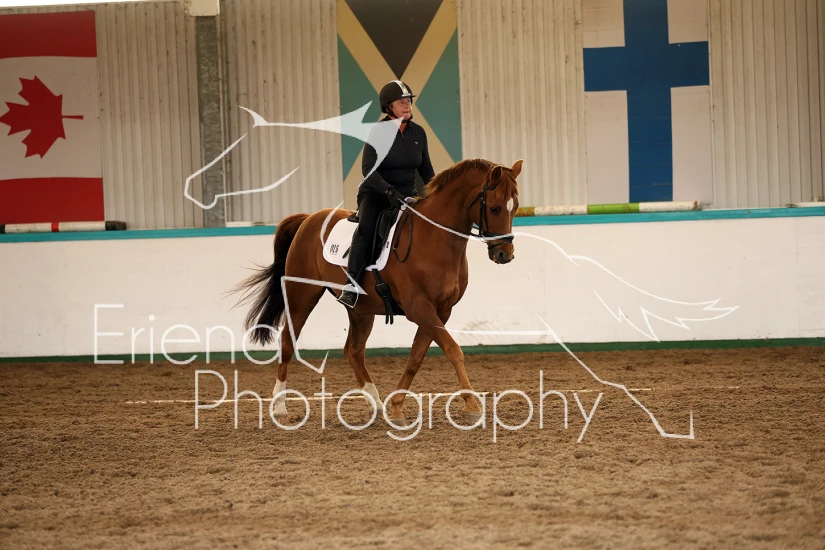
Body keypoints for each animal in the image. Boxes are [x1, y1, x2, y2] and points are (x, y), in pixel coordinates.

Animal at [234, 158, 522, 425]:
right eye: (494, 208)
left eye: (515, 207)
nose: (504, 255)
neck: (434, 239)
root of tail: (308, 219)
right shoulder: (420, 308)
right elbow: (453, 350)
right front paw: (472, 407)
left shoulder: (441, 310)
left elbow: (416, 358)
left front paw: (396, 408)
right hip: (301, 296)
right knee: (287, 342)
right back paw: (280, 407)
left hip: (361, 310)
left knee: (353, 351)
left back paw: (378, 406)